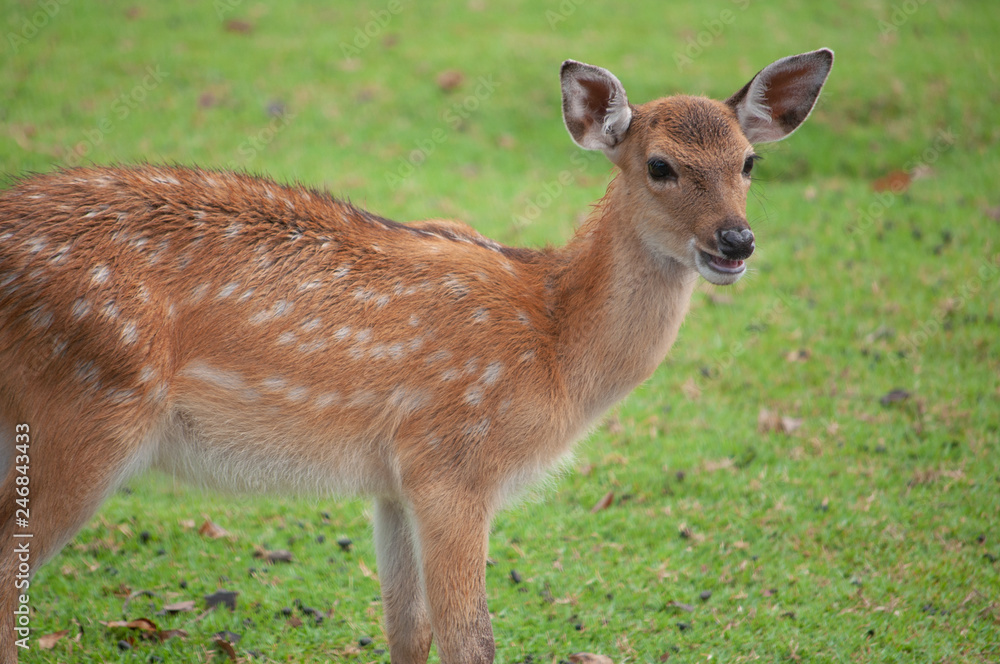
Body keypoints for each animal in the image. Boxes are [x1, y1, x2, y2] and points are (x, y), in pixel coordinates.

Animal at [0, 52, 832, 664]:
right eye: (659, 165)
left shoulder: (394, 481)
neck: (554, 344)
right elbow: (472, 639)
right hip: (83, 412)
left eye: (749, 162)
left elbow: (407, 631)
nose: (735, 242)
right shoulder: (455, 464)